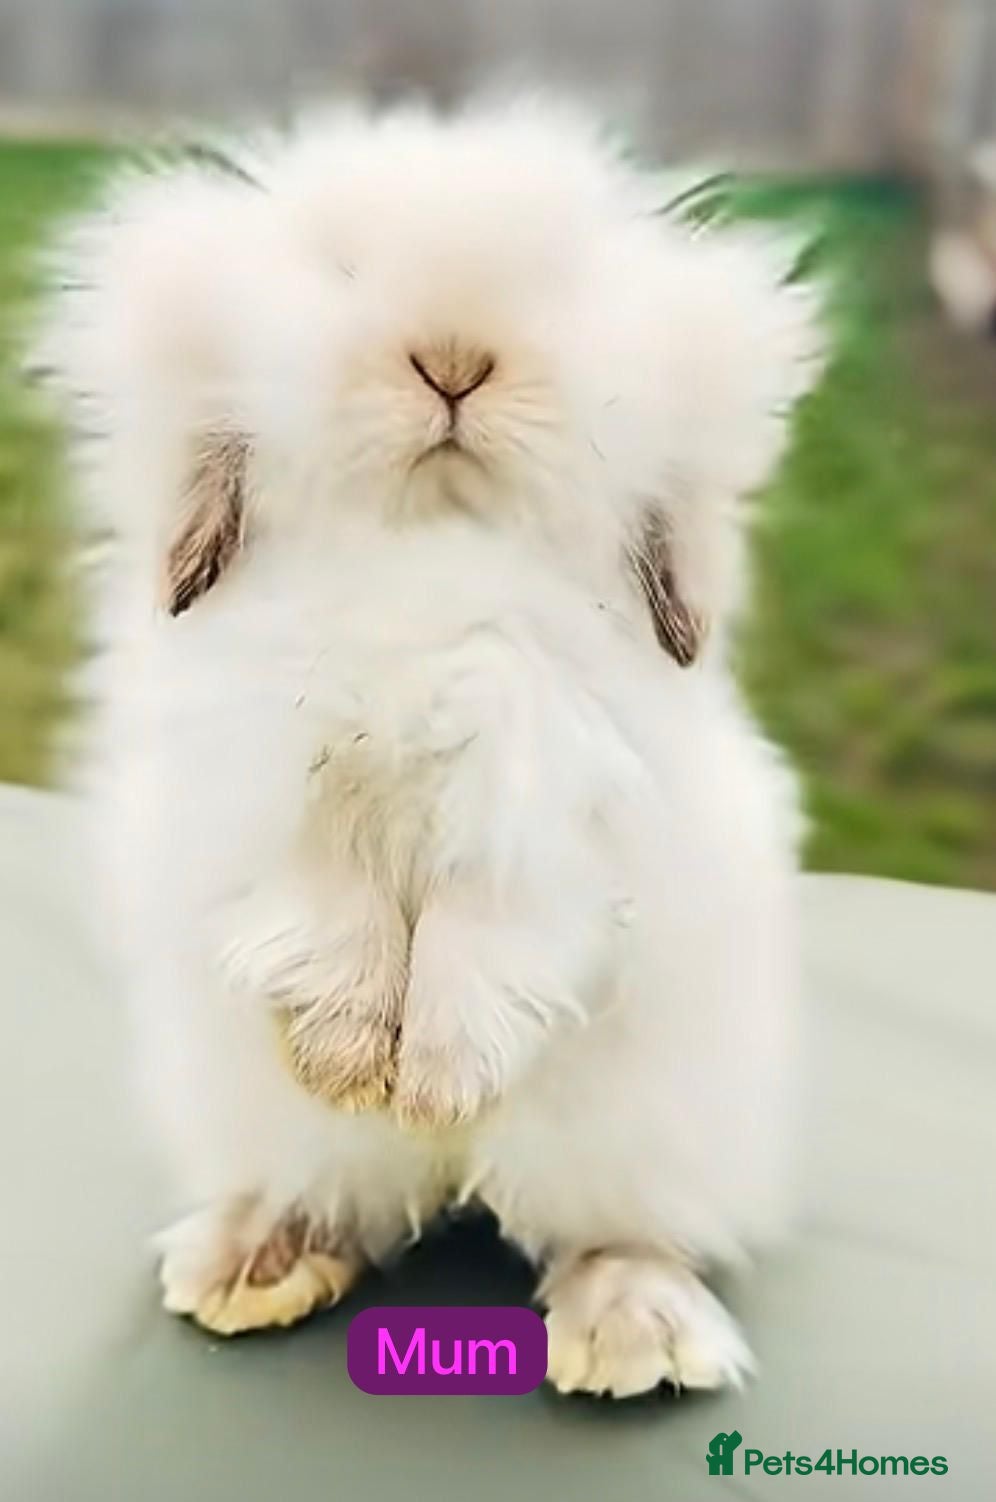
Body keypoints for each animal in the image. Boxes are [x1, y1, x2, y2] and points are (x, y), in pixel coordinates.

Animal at [43, 94, 822, 1398]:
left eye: (556, 283)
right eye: (343, 269)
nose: (454, 359)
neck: (430, 550)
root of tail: (456, 1188)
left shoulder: (558, 798)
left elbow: (479, 928)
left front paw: (439, 1078)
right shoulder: (263, 776)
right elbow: (331, 911)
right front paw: (354, 1062)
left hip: (651, 1128)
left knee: (616, 1228)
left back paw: (630, 1326)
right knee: (346, 1199)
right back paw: (257, 1258)